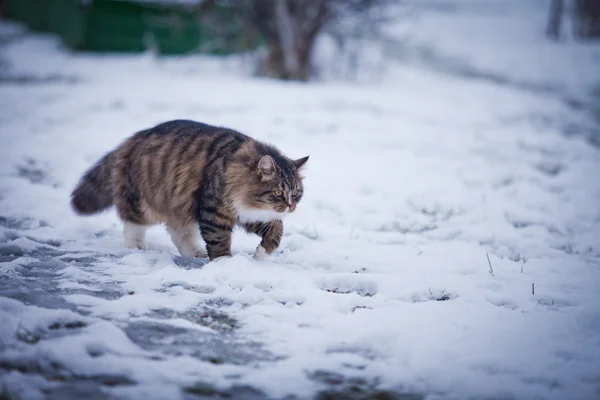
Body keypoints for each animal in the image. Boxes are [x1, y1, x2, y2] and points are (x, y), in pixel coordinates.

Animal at [69, 119, 310, 260]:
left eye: (296, 193)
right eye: (278, 192)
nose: (290, 206)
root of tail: (135, 137)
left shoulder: (248, 214)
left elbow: (276, 230)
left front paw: (261, 254)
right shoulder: (215, 210)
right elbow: (219, 240)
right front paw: (224, 263)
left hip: (180, 205)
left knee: (178, 232)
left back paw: (195, 252)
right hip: (141, 198)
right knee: (133, 224)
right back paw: (136, 246)